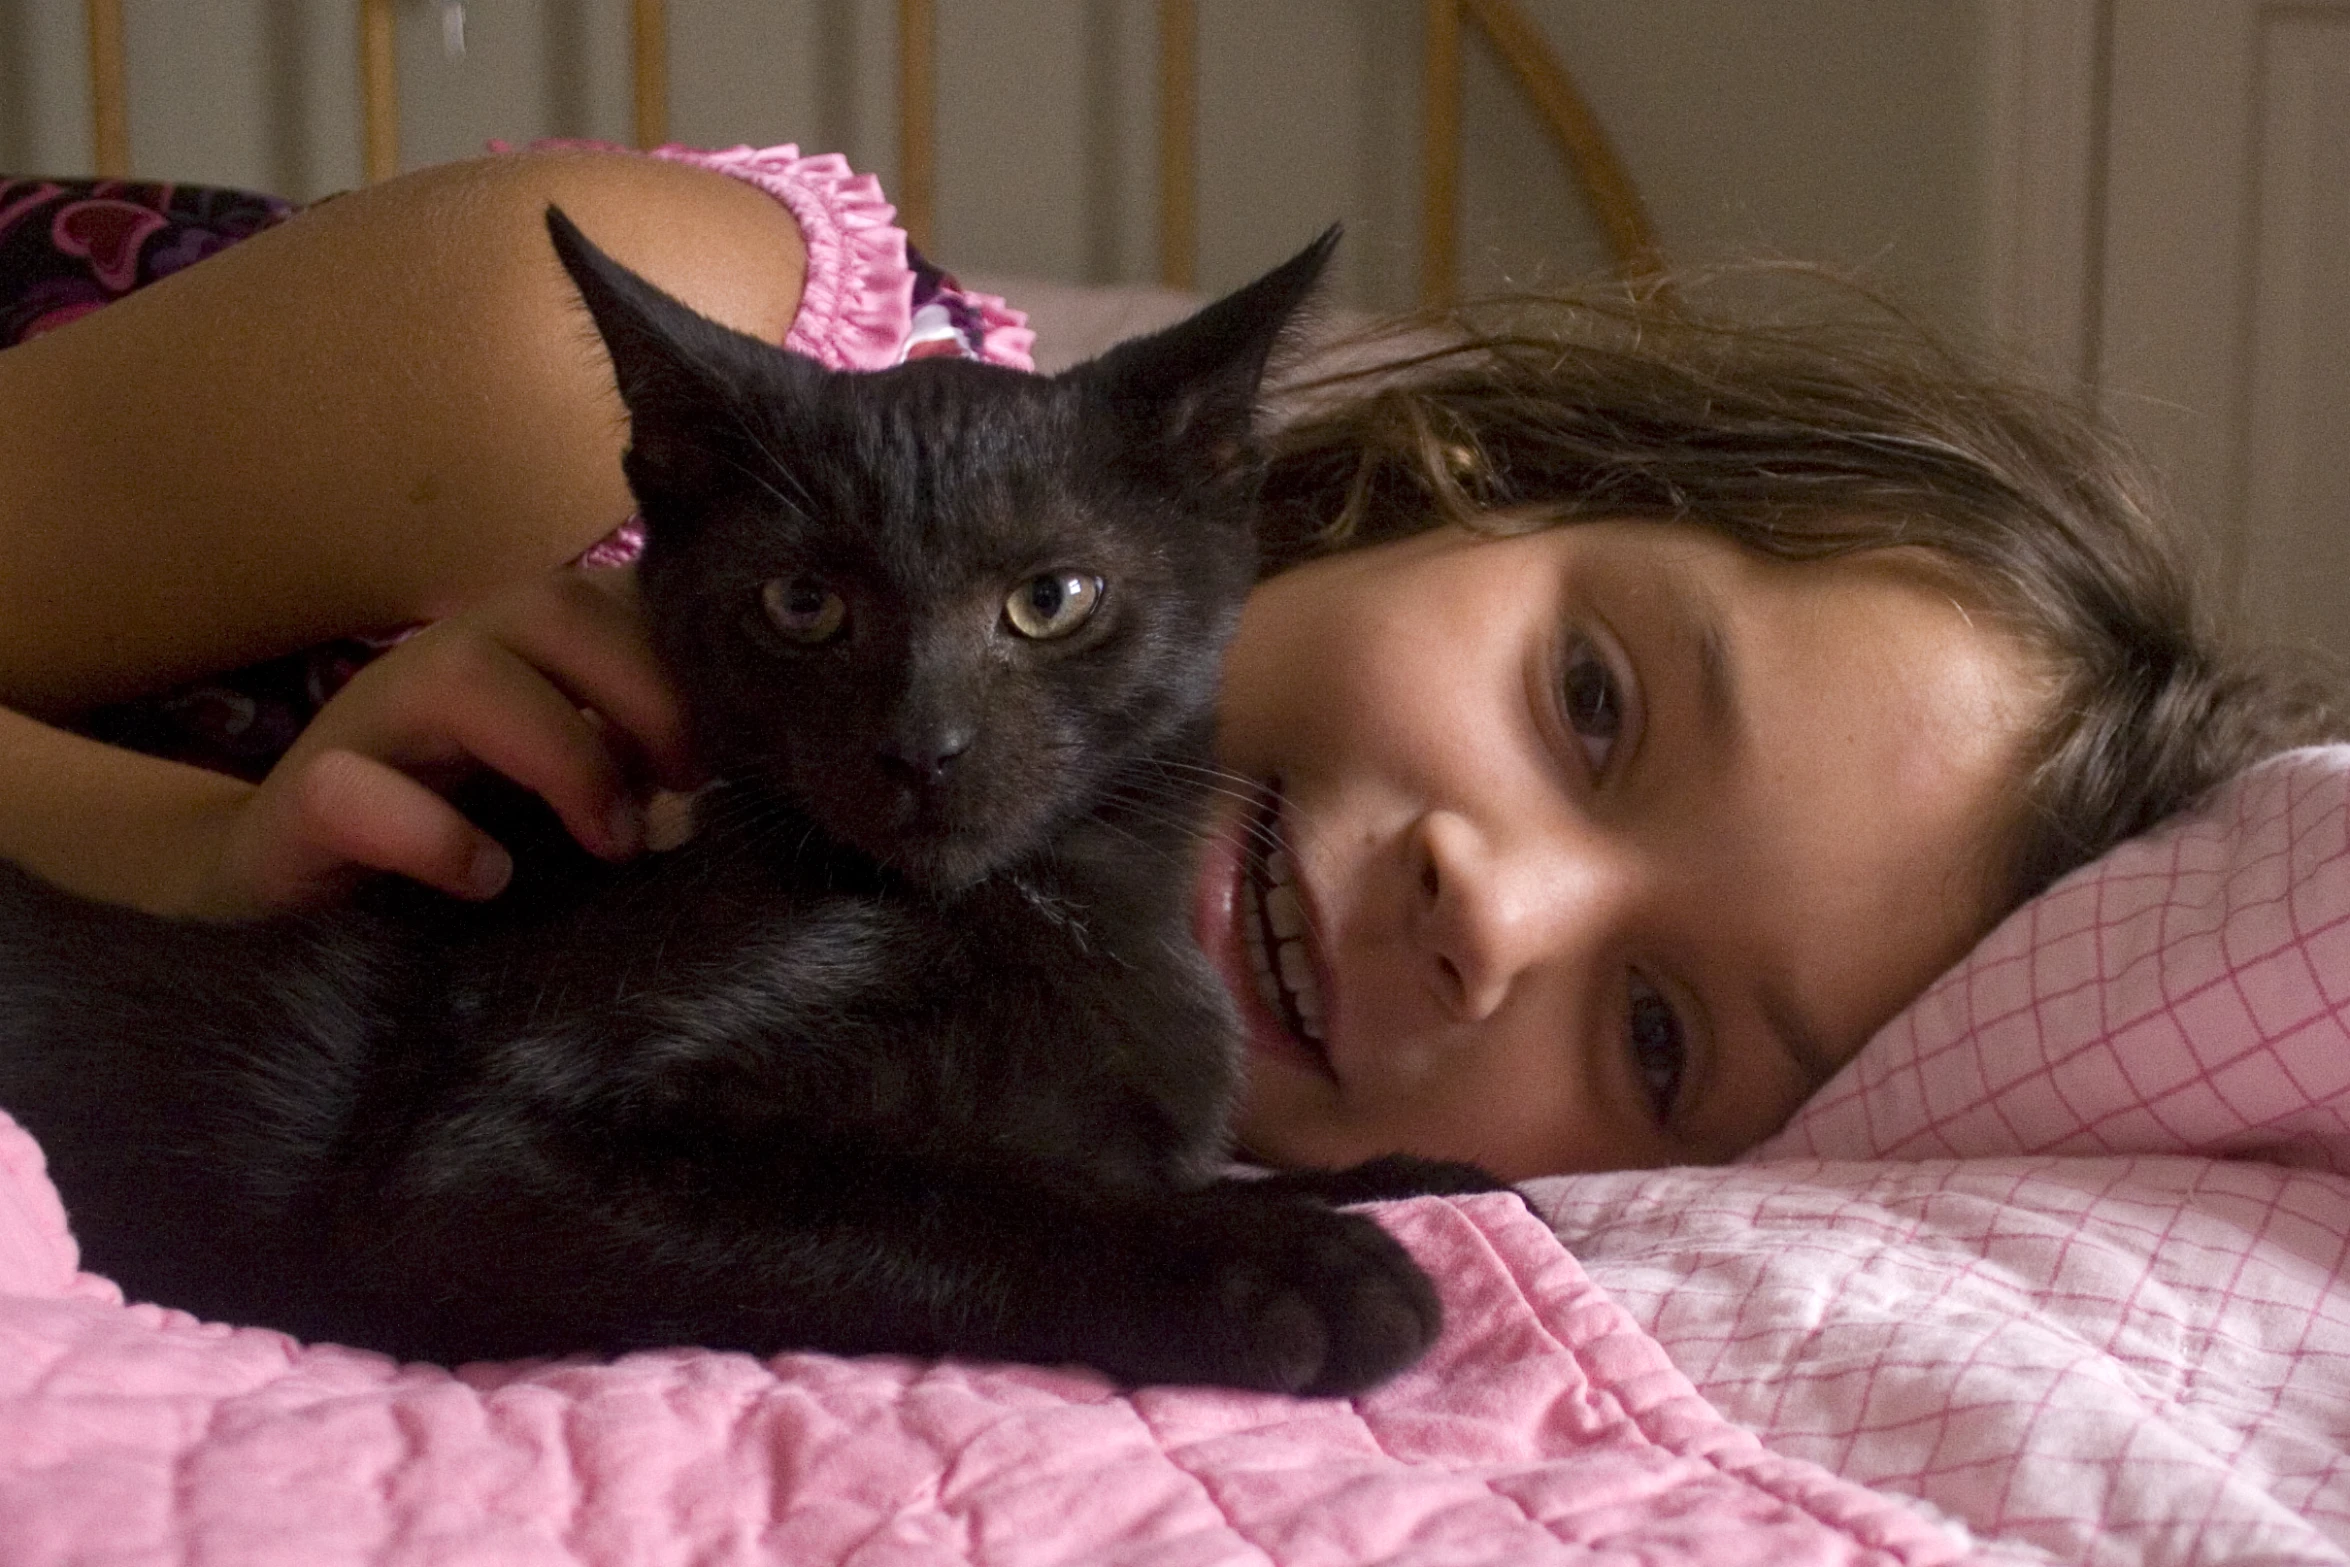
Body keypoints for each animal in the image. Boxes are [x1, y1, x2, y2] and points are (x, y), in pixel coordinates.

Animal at [0, 207, 1466, 1400]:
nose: (920, 749)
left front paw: (1409, 1173)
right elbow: (917, 1187)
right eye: (803, 603)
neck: (1035, 916)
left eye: (1050, 598)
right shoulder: (483, 1152)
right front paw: (1283, 1260)